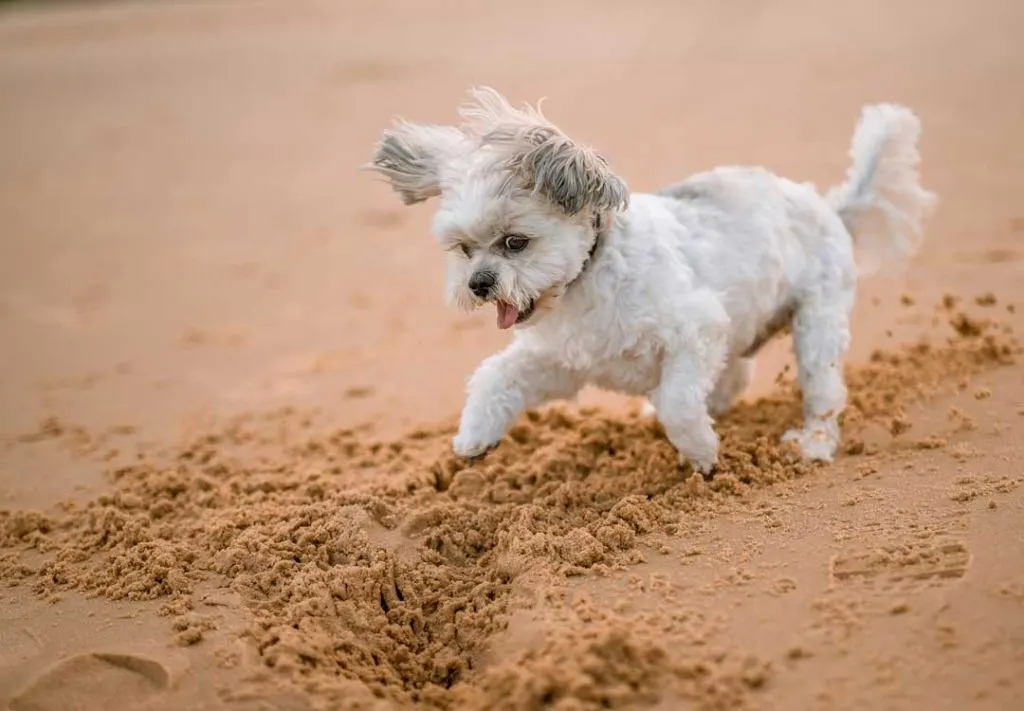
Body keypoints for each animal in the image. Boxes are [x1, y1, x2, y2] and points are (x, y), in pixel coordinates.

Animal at [368, 89, 937, 475]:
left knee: (821, 389)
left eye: (515, 243)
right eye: (464, 249)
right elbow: (495, 377)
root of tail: (827, 204)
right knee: (734, 376)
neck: (588, 280)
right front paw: (475, 437)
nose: (480, 284)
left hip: (816, 324)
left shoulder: (697, 330)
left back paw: (813, 441)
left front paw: (702, 452)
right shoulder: (560, 362)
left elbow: (679, 404)